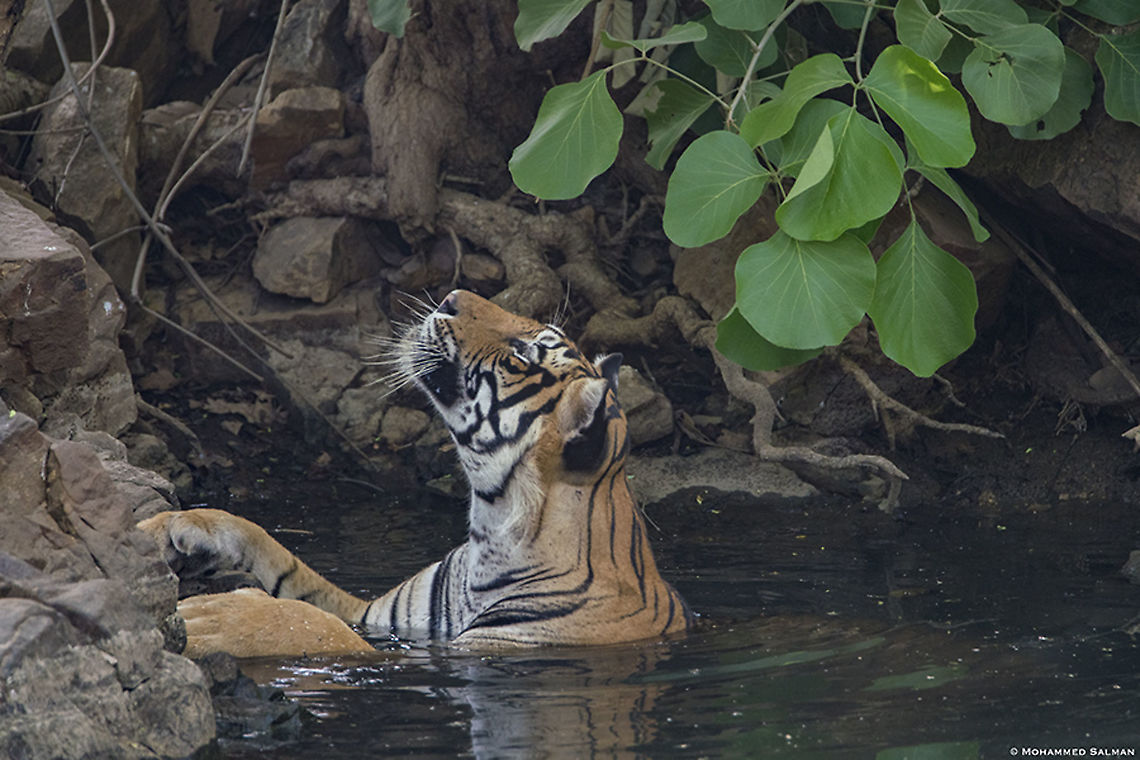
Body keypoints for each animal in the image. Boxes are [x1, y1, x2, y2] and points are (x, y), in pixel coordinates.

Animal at [140, 289, 692, 656]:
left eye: (522, 354)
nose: (449, 297)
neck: (494, 525)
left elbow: (316, 627)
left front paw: (215, 618)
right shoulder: (373, 614)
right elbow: (278, 556)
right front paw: (168, 526)